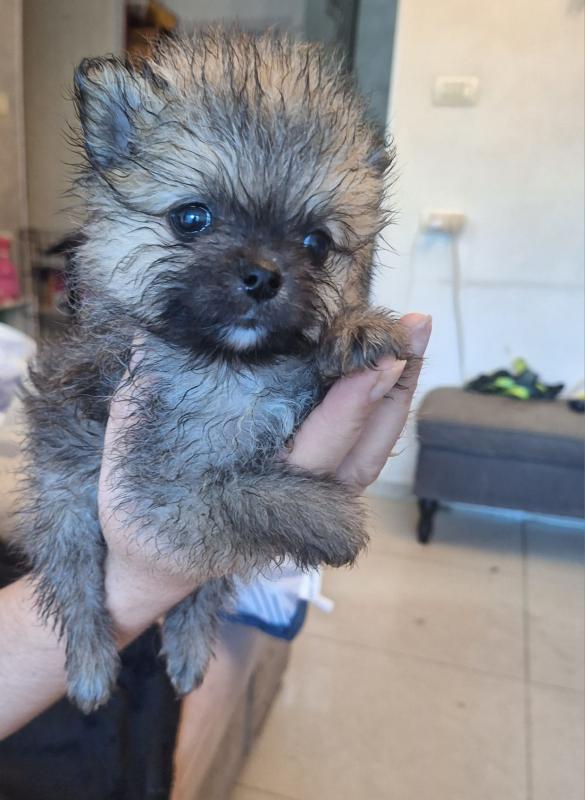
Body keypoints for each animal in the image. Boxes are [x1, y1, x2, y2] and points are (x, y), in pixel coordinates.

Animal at [17, 28, 409, 713]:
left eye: (316, 244)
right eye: (192, 217)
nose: (262, 276)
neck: (232, 367)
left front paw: (354, 330)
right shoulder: (163, 492)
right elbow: (246, 492)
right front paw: (334, 523)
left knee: (203, 590)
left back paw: (189, 648)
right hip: (63, 500)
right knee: (76, 583)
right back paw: (91, 664)